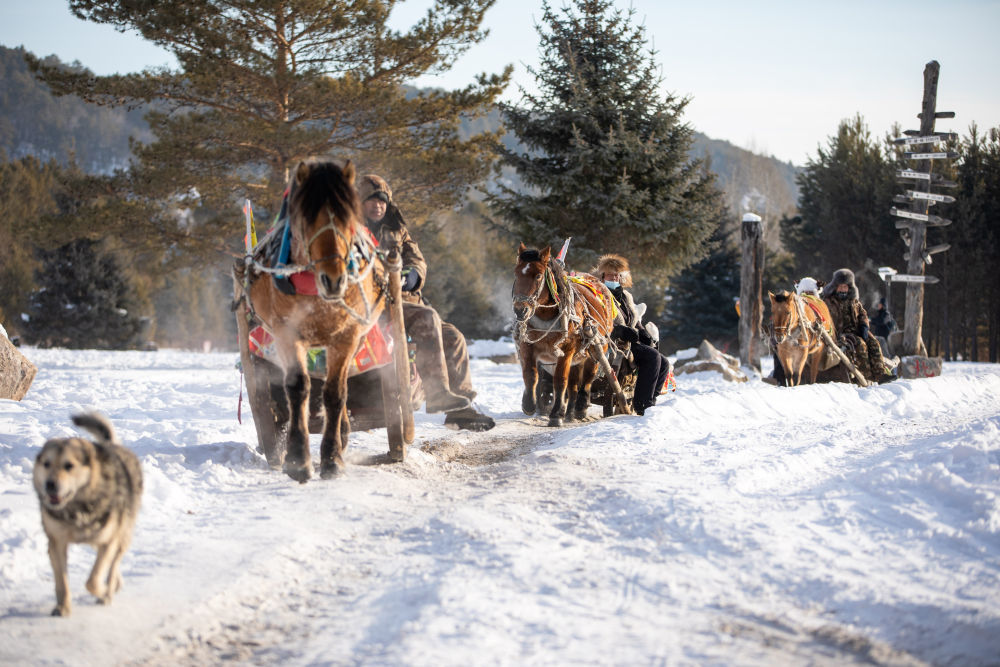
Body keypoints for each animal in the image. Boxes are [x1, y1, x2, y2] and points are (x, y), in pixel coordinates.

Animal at [32, 414, 143, 620]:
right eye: (46, 464)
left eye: (69, 466)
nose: (50, 484)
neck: (76, 509)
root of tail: (112, 445)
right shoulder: (56, 543)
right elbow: (62, 582)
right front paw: (63, 608)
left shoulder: (108, 541)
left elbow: (92, 581)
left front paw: (104, 592)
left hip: (122, 535)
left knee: (114, 564)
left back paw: (109, 589)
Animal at [234, 159, 390, 482]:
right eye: (307, 218)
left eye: (348, 217)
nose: (334, 279)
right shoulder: (286, 332)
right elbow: (297, 388)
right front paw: (297, 458)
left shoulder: (347, 336)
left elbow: (335, 393)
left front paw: (332, 457)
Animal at [516, 243, 616, 426]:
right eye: (516, 273)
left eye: (538, 276)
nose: (520, 310)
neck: (546, 317)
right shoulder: (527, 345)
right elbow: (530, 374)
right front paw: (528, 404)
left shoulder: (566, 350)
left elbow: (560, 381)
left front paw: (556, 415)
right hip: (577, 357)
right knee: (574, 384)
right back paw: (569, 411)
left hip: (598, 346)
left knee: (588, 377)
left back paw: (580, 407)